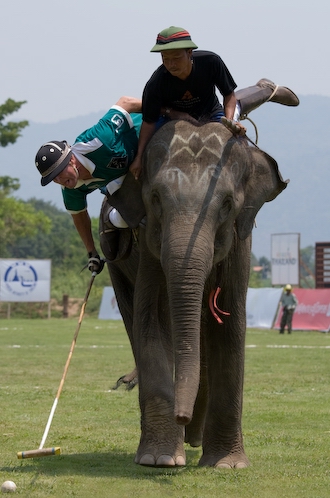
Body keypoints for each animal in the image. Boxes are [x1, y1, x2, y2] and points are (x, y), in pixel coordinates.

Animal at [99, 118, 288, 468]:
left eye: (227, 204)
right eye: (156, 199)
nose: (181, 417)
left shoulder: (241, 241)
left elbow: (231, 325)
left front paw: (227, 464)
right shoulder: (147, 237)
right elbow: (151, 319)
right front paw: (159, 459)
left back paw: (195, 438)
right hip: (115, 262)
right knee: (134, 317)